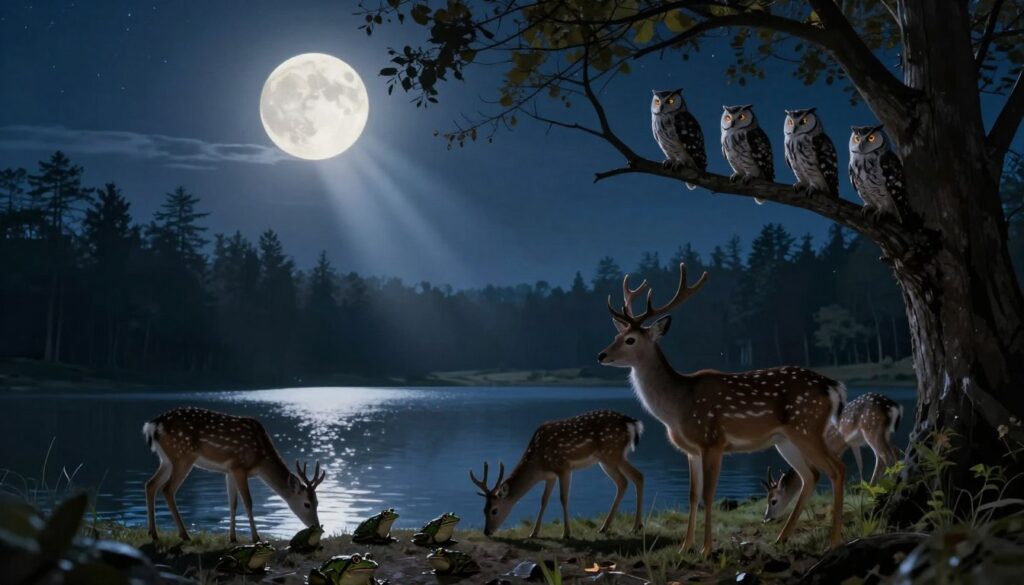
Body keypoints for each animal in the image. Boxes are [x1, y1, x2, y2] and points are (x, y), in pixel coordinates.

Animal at [142, 406, 326, 542]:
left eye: (318, 502)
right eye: (307, 504)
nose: (317, 527)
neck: (261, 460)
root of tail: (153, 425)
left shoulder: (229, 471)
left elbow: (232, 503)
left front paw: (232, 537)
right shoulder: (240, 467)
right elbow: (248, 502)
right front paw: (256, 538)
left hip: (166, 459)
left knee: (150, 484)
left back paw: (154, 533)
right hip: (183, 455)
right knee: (167, 489)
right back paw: (184, 534)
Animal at [469, 410, 645, 540]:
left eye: (494, 510)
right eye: (483, 509)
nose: (487, 531)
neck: (538, 463)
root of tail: (631, 422)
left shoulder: (563, 467)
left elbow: (563, 498)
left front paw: (566, 533)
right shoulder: (550, 475)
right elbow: (544, 501)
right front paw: (534, 532)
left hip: (611, 454)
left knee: (630, 478)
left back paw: (631, 527)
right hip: (611, 458)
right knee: (630, 479)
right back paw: (615, 527)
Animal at [597, 263, 846, 554]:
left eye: (631, 340)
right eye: (616, 334)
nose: (601, 355)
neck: (677, 406)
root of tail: (833, 386)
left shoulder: (712, 442)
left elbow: (708, 495)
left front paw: (706, 549)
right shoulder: (691, 450)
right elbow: (692, 496)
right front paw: (685, 547)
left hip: (807, 427)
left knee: (836, 469)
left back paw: (834, 541)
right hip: (786, 440)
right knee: (811, 475)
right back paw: (781, 537)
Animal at [763, 392, 902, 522]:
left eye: (773, 500)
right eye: (767, 498)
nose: (766, 518)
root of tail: (893, 406)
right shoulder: (844, 448)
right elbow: (858, 466)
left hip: (872, 430)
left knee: (886, 457)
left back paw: (890, 489)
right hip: (883, 433)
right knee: (891, 453)